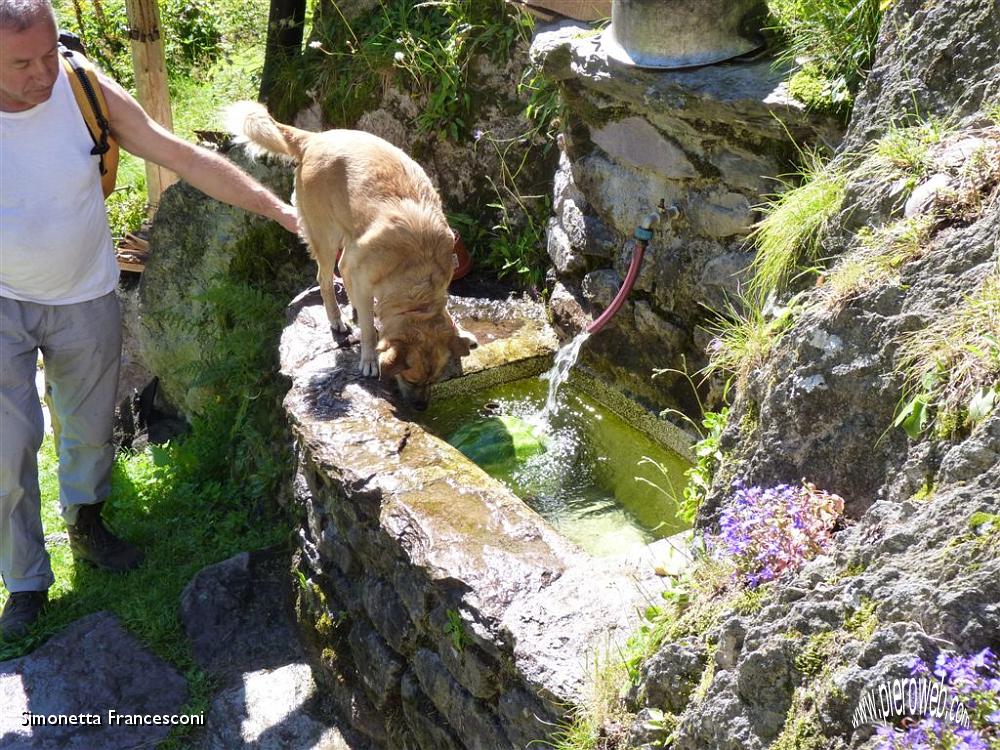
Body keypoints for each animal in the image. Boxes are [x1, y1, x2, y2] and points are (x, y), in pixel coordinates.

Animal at [228, 101, 476, 412]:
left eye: (434, 380)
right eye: (411, 378)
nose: (421, 408)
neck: (417, 277)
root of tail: (314, 139)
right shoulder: (364, 271)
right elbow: (369, 329)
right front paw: (369, 358)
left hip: (348, 237)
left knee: (343, 272)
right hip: (326, 238)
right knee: (324, 279)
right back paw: (337, 318)